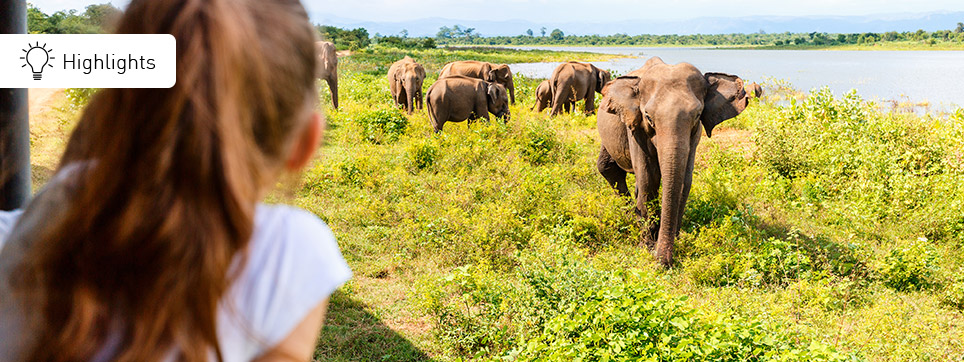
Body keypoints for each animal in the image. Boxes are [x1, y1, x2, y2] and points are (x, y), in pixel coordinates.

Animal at [596, 56, 744, 266]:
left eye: (697, 115)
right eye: (648, 117)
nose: (663, 263)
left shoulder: (695, 134)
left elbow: (684, 181)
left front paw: (674, 240)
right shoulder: (635, 127)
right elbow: (648, 179)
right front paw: (647, 246)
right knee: (608, 168)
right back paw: (632, 218)